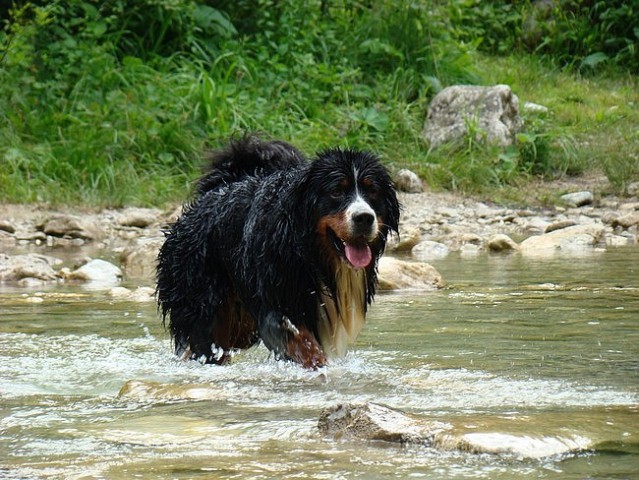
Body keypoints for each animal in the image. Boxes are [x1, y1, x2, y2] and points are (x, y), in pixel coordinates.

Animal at [156, 137, 400, 370]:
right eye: (336, 191)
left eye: (372, 191)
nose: (364, 218)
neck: (307, 252)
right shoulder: (277, 305)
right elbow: (303, 343)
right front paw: (320, 367)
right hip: (203, 306)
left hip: (240, 326)